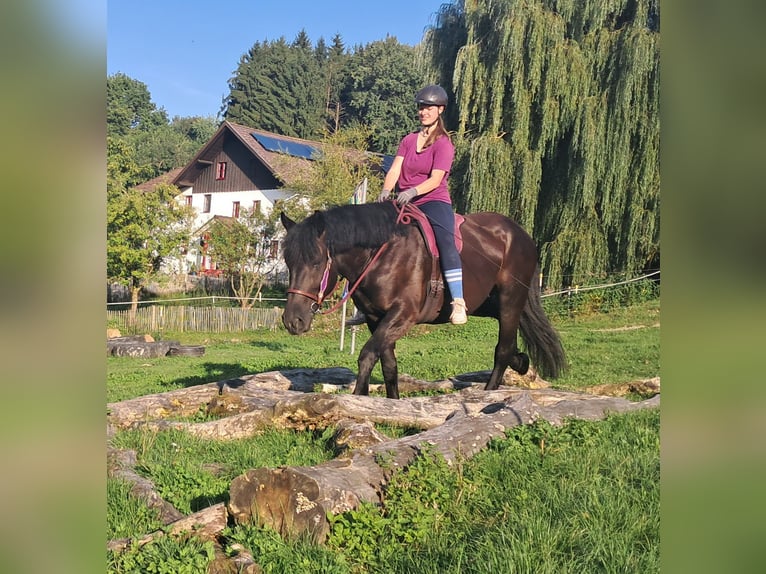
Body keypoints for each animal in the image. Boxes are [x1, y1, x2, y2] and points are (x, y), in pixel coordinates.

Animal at [280, 202, 567, 399]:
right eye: (288, 261)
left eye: (316, 262)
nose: (293, 320)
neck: (380, 255)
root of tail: (522, 235)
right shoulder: (376, 318)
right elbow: (389, 365)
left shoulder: (402, 315)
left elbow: (367, 355)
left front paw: (358, 398)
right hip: (490, 305)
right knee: (511, 346)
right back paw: (522, 362)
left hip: (510, 301)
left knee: (503, 351)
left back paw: (488, 391)